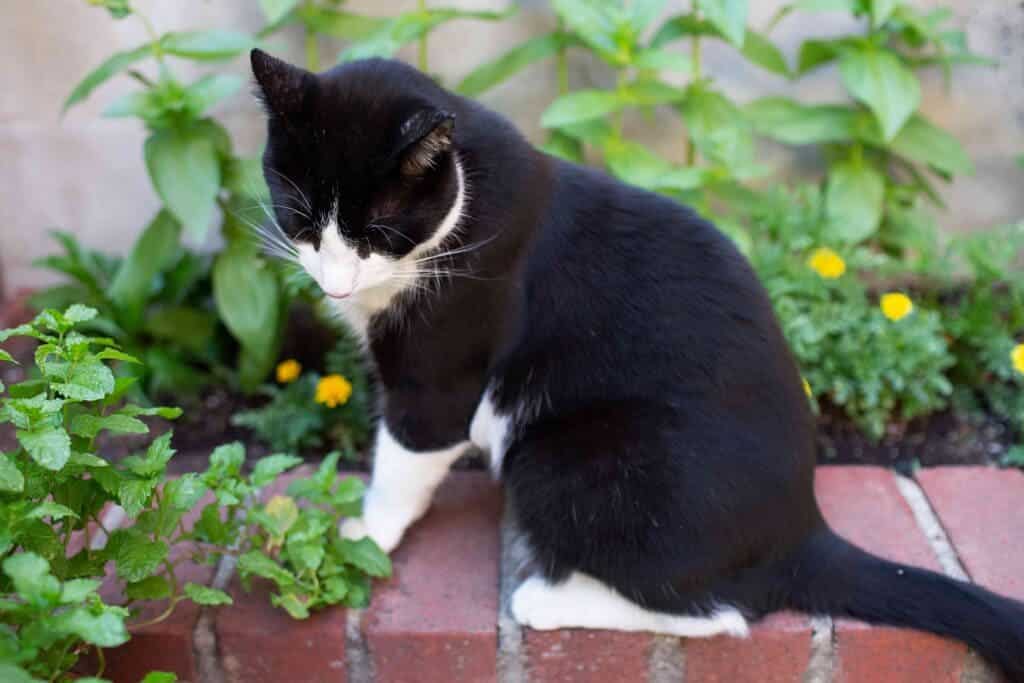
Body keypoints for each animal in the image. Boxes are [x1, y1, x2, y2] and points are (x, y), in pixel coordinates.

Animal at [251, 49, 1024, 679]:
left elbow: (404, 455)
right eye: (302, 218)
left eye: (376, 231)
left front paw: (365, 535)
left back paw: (546, 599)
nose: (335, 284)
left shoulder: (441, 370)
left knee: (724, 612)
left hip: (566, 461)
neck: (463, 199)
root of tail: (804, 530)